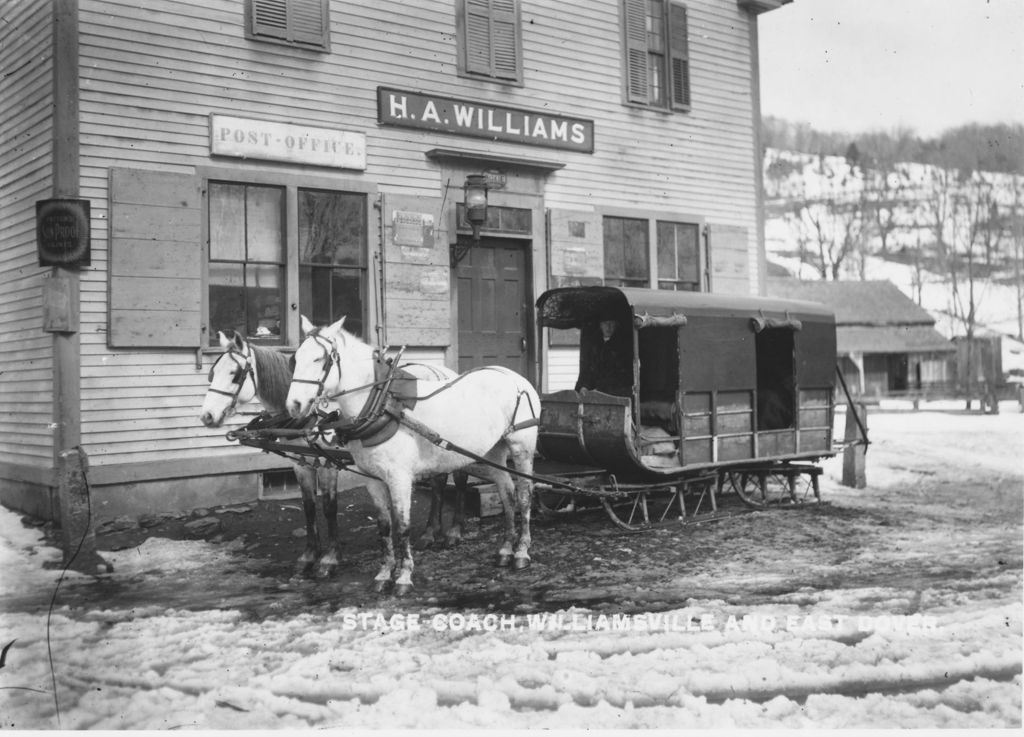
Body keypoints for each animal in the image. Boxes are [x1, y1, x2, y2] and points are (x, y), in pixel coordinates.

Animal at [286, 313, 540, 597]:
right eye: (295, 358)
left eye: (320, 359)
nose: (294, 405)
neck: (381, 404)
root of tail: (512, 376)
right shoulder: (373, 479)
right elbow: (385, 526)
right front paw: (384, 574)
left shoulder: (400, 477)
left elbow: (403, 525)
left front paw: (404, 576)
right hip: (494, 451)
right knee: (507, 493)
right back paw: (505, 549)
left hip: (521, 448)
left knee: (524, 496)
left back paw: (521, 551)